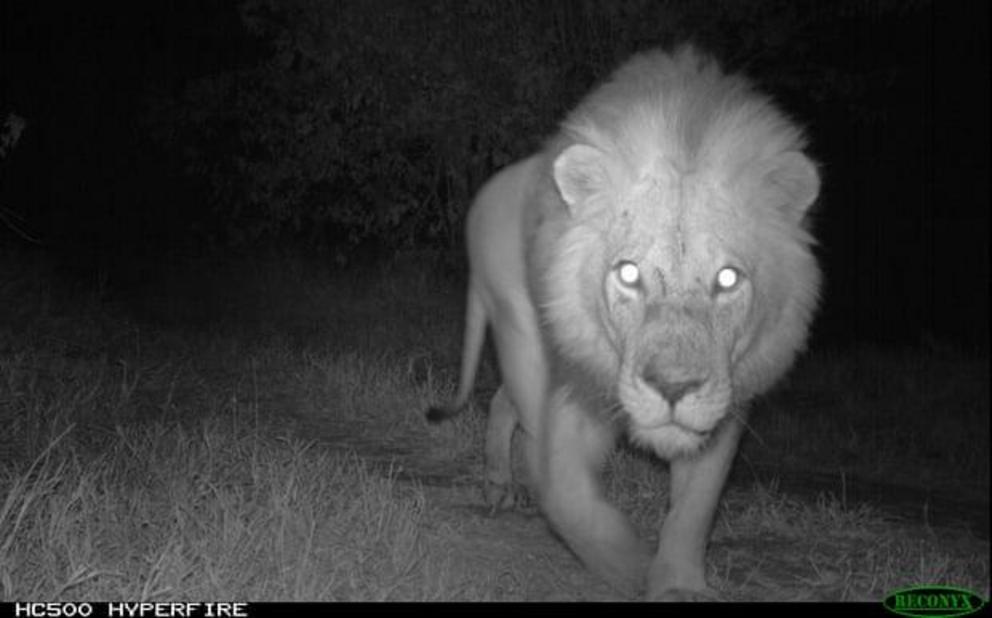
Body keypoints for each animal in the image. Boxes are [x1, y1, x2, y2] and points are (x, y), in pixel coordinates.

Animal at [426, 45, 820, 600]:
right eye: (629, 274)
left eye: (727, 279)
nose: (673, 389)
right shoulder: (574, 386)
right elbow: (569, 494)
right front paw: (627, 566)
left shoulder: (726, 404)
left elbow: (693, 512)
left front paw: (676, 583)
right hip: (519, 330)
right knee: (521, 410)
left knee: (504, 402)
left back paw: (500, 485)